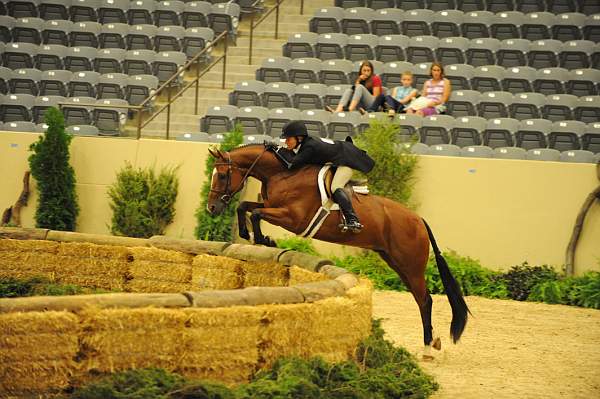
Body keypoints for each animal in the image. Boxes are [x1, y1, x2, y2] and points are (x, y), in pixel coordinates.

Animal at [206, 144, 468, 360]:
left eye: (222, 175)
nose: (212, 208)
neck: (282, 173)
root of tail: (419, 219)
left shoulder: (294, 219)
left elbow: (257, 213)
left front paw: (263, 239)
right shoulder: (273, 206)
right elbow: (245, 207)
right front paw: (249, 234)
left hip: (410, 265)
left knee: (425, 300)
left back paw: (427, 348)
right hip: (396, 262)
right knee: (419, 298)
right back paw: (433, 343)